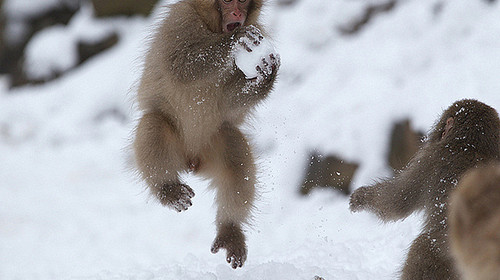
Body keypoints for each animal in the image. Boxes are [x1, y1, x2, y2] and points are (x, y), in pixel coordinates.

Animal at [133, 0, 280, 270]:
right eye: (227, 1)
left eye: (243, 1)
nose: (237, 14)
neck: (211, 27)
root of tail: (192, 161)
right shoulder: (180, 22)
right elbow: (181, 65)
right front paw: (235, 39)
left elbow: (230, 104)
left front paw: (266, 75)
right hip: (175, 140)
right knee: (153, 124)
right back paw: (169, 189)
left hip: (213, 142)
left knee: (235, 152)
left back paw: (230, 230)